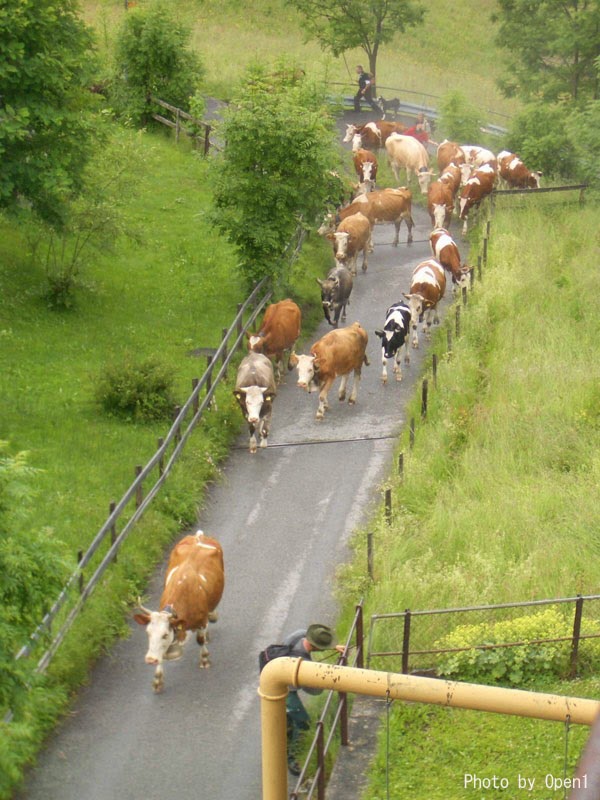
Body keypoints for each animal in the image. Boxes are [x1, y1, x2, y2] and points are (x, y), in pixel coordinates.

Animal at [133, 530, 225, 693]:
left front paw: (205, 660)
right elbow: (161, 654)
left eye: (165, 634)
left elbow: (200, 640)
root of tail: (198, 535)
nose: (150, 659)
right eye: (148, 633)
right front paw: (157, 680)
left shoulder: (201, 621)